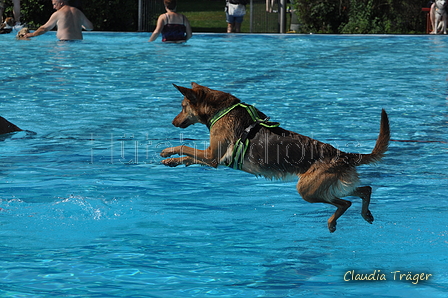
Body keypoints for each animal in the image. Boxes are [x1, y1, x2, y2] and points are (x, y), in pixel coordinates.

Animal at [160, 82, 388, 233]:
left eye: (182, 107)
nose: (172, 122)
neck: (222, 110)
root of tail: (343, 155)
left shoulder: (211, 155)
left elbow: (184, 146)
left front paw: (167, 152)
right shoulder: (213, 160)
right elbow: (188, 157)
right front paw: (171, 161)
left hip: (307, 189)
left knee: (345, 203)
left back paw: (332, 222)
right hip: (328, 185)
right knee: (365, 190)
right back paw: (366, 214)